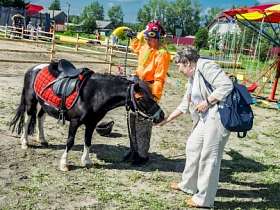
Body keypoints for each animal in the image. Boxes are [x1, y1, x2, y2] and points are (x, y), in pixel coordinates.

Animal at [9, 60, 165, 171]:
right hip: (31, 101)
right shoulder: (75, 121)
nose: (161, 115)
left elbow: (88, 141)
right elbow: (70, 141)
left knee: (40, 118)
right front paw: (64, 164)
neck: (95, 94)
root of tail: (33, 68)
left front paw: (87, 161)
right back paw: (24, 142)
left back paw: (42, 139)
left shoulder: (92, 123)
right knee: (28, 119)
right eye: (141, 98)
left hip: (45, 104)